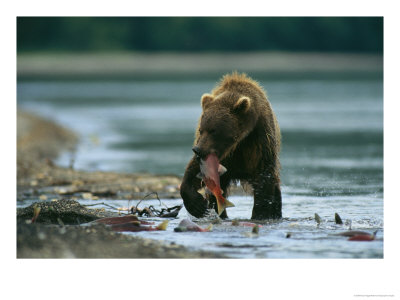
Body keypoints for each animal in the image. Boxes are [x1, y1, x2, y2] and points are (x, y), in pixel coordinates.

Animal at [181, 71, 282, 219]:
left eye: (213, 130)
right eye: (201, 129)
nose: (197, 150)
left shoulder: (260, 140)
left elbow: (264, 178)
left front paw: (260, 214)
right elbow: (193, 171)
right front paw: (196, 205)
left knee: (275, 189)